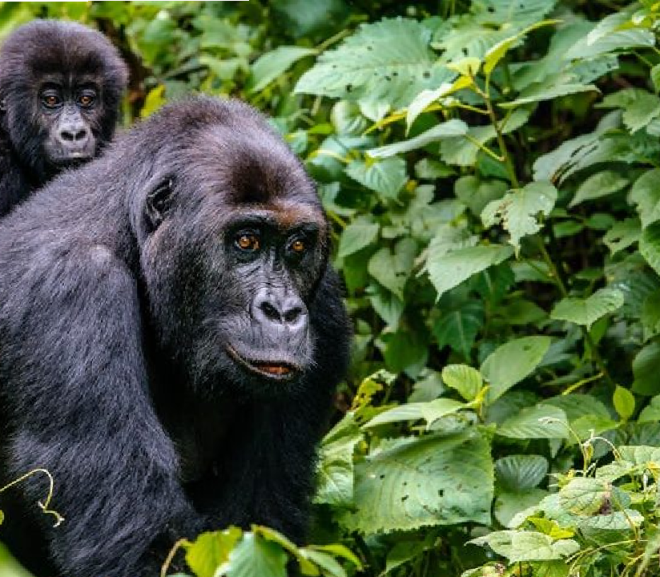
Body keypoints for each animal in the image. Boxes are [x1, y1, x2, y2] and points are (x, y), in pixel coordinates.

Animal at [0, 98, 350, 576]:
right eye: (246, 241)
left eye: (298, 246)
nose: (283, 312)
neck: (132, 237)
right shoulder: (73, 289)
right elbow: (140, 542)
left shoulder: (325, 304)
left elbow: (262, 526)